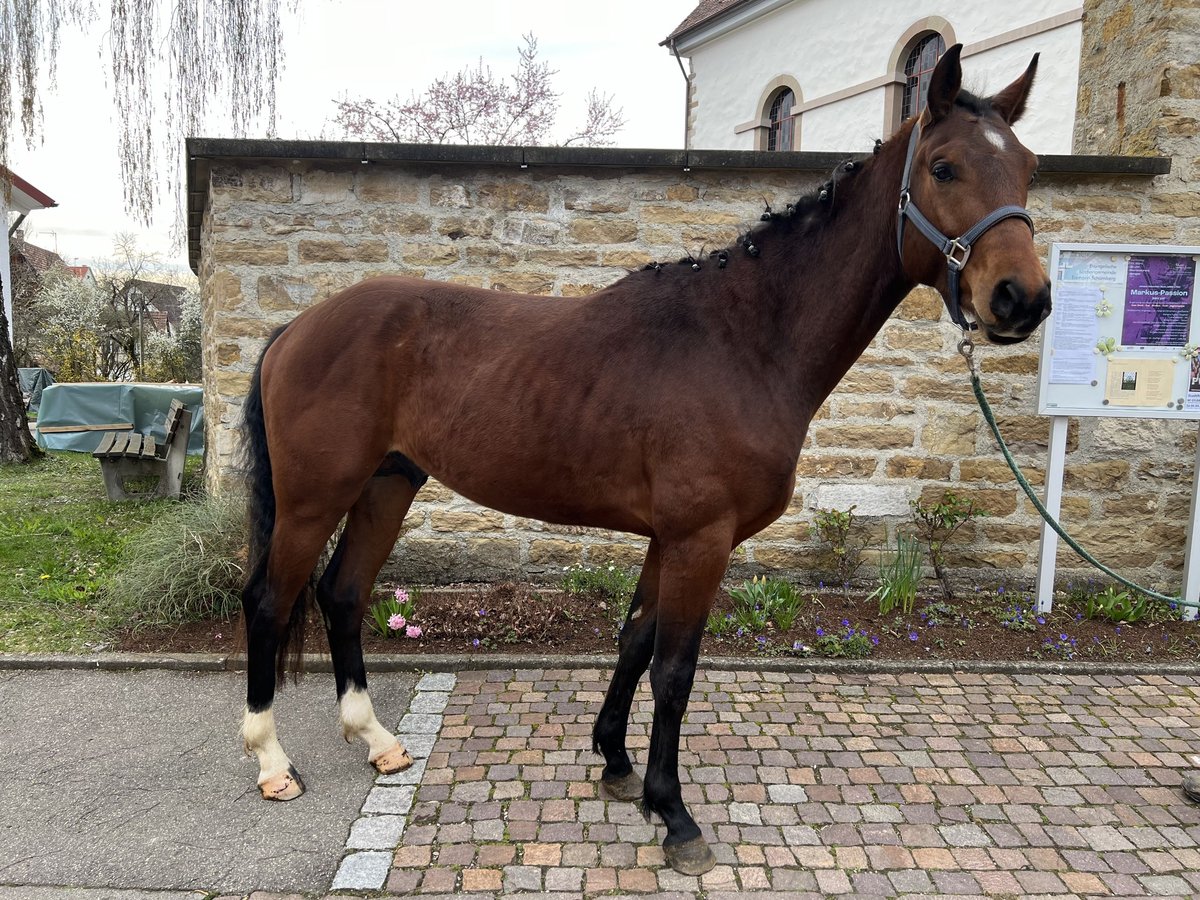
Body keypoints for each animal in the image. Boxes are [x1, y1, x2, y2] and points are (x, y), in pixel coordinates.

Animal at [238, 45, 1046, 878]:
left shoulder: (670, 536)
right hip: (314, 498)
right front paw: (676, 814)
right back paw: (272, 763)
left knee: (342, 594)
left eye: (1028, 167)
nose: (1022, 299)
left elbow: (633, 641)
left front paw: (618, 765)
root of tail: (298, 325)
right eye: (945, 167)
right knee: (268, 601)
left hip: (386, 485)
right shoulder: (701, 538)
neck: (745, 342)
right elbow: (674, 670)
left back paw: (378, 741)